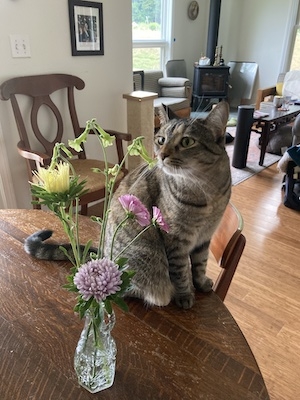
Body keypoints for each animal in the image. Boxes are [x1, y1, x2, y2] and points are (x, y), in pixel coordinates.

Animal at [25, 100, 232, 310]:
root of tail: (104, 255)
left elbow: (200, 264)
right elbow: (181, 271)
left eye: (187, 142)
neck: (206, 190)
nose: (162, 155)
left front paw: (201, 283)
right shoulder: (175, 239)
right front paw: (185, 295)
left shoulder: (205, 237)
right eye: (161, 140)